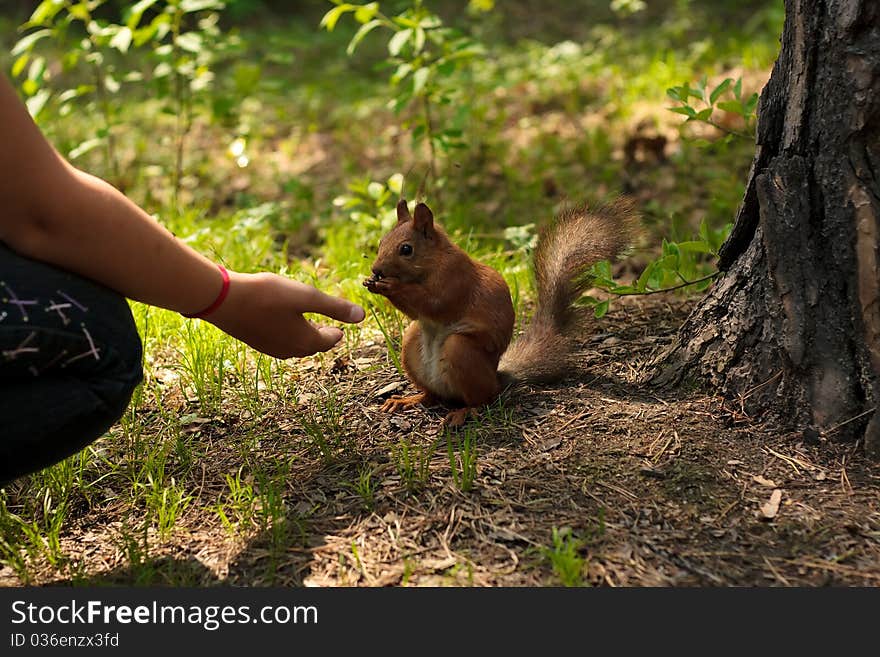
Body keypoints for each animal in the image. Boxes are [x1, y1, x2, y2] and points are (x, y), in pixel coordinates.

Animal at [360, 197, 636, 428]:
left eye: (406, 249)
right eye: (381, 242)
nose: (376, 269)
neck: (433, 262)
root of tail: (497, 377)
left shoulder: (455, 280)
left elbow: (435, 304)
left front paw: (389, 286)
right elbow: (417, 312)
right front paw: (372, 283)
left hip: (461, 352)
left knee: (483, 399)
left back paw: (464, 412)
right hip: (412, 343)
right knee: (432, 396)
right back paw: (408, 400)